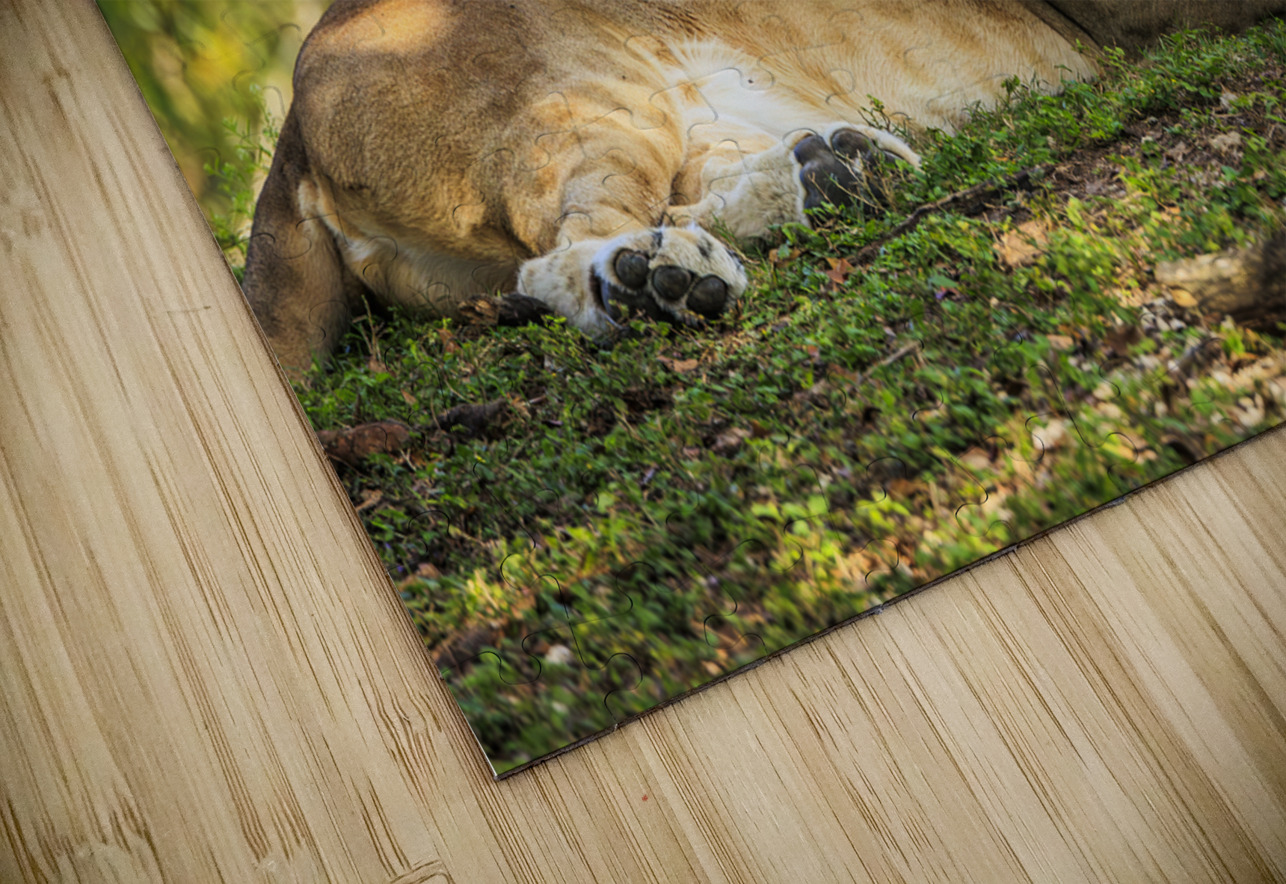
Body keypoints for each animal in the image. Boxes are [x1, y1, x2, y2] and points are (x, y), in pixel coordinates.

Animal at [243, 0, 1285, 377]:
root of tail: (288, 141)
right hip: (585, 92)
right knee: (558, 258)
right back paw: (648, 284)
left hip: (699, 107)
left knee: (698, 195)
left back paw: (841, 172)